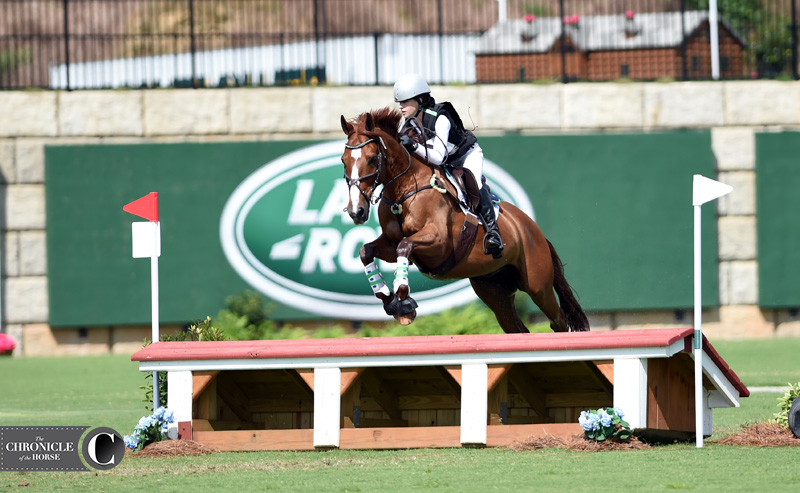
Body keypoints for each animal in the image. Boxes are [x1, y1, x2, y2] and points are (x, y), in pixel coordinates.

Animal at [338, 105, 588, 332]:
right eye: (343, 160)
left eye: (372, 159)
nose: (356, 212)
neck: (405, 190)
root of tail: (534, 230)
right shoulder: (390, 244)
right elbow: (367, 251)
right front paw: (387, 297)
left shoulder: (438, 243)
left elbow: (405, 246)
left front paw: (403, 299)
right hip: (494, 290)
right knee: (516, 328)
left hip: (537, 285)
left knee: (558, 321)